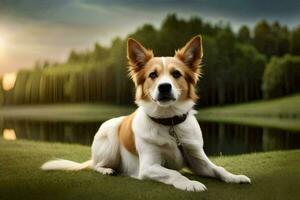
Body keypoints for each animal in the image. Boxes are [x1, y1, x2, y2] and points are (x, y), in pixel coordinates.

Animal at [41, 36, 250, 192]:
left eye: (176, 74)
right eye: (152, 75)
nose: (164, 87)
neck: (169, 122)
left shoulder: (198, 159)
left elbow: (218, 168)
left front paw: (234, 177)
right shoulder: (149, 167)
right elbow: (175, 173)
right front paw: (190, 183)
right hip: (111, 138)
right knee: (95, 165)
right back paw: (107, 170)